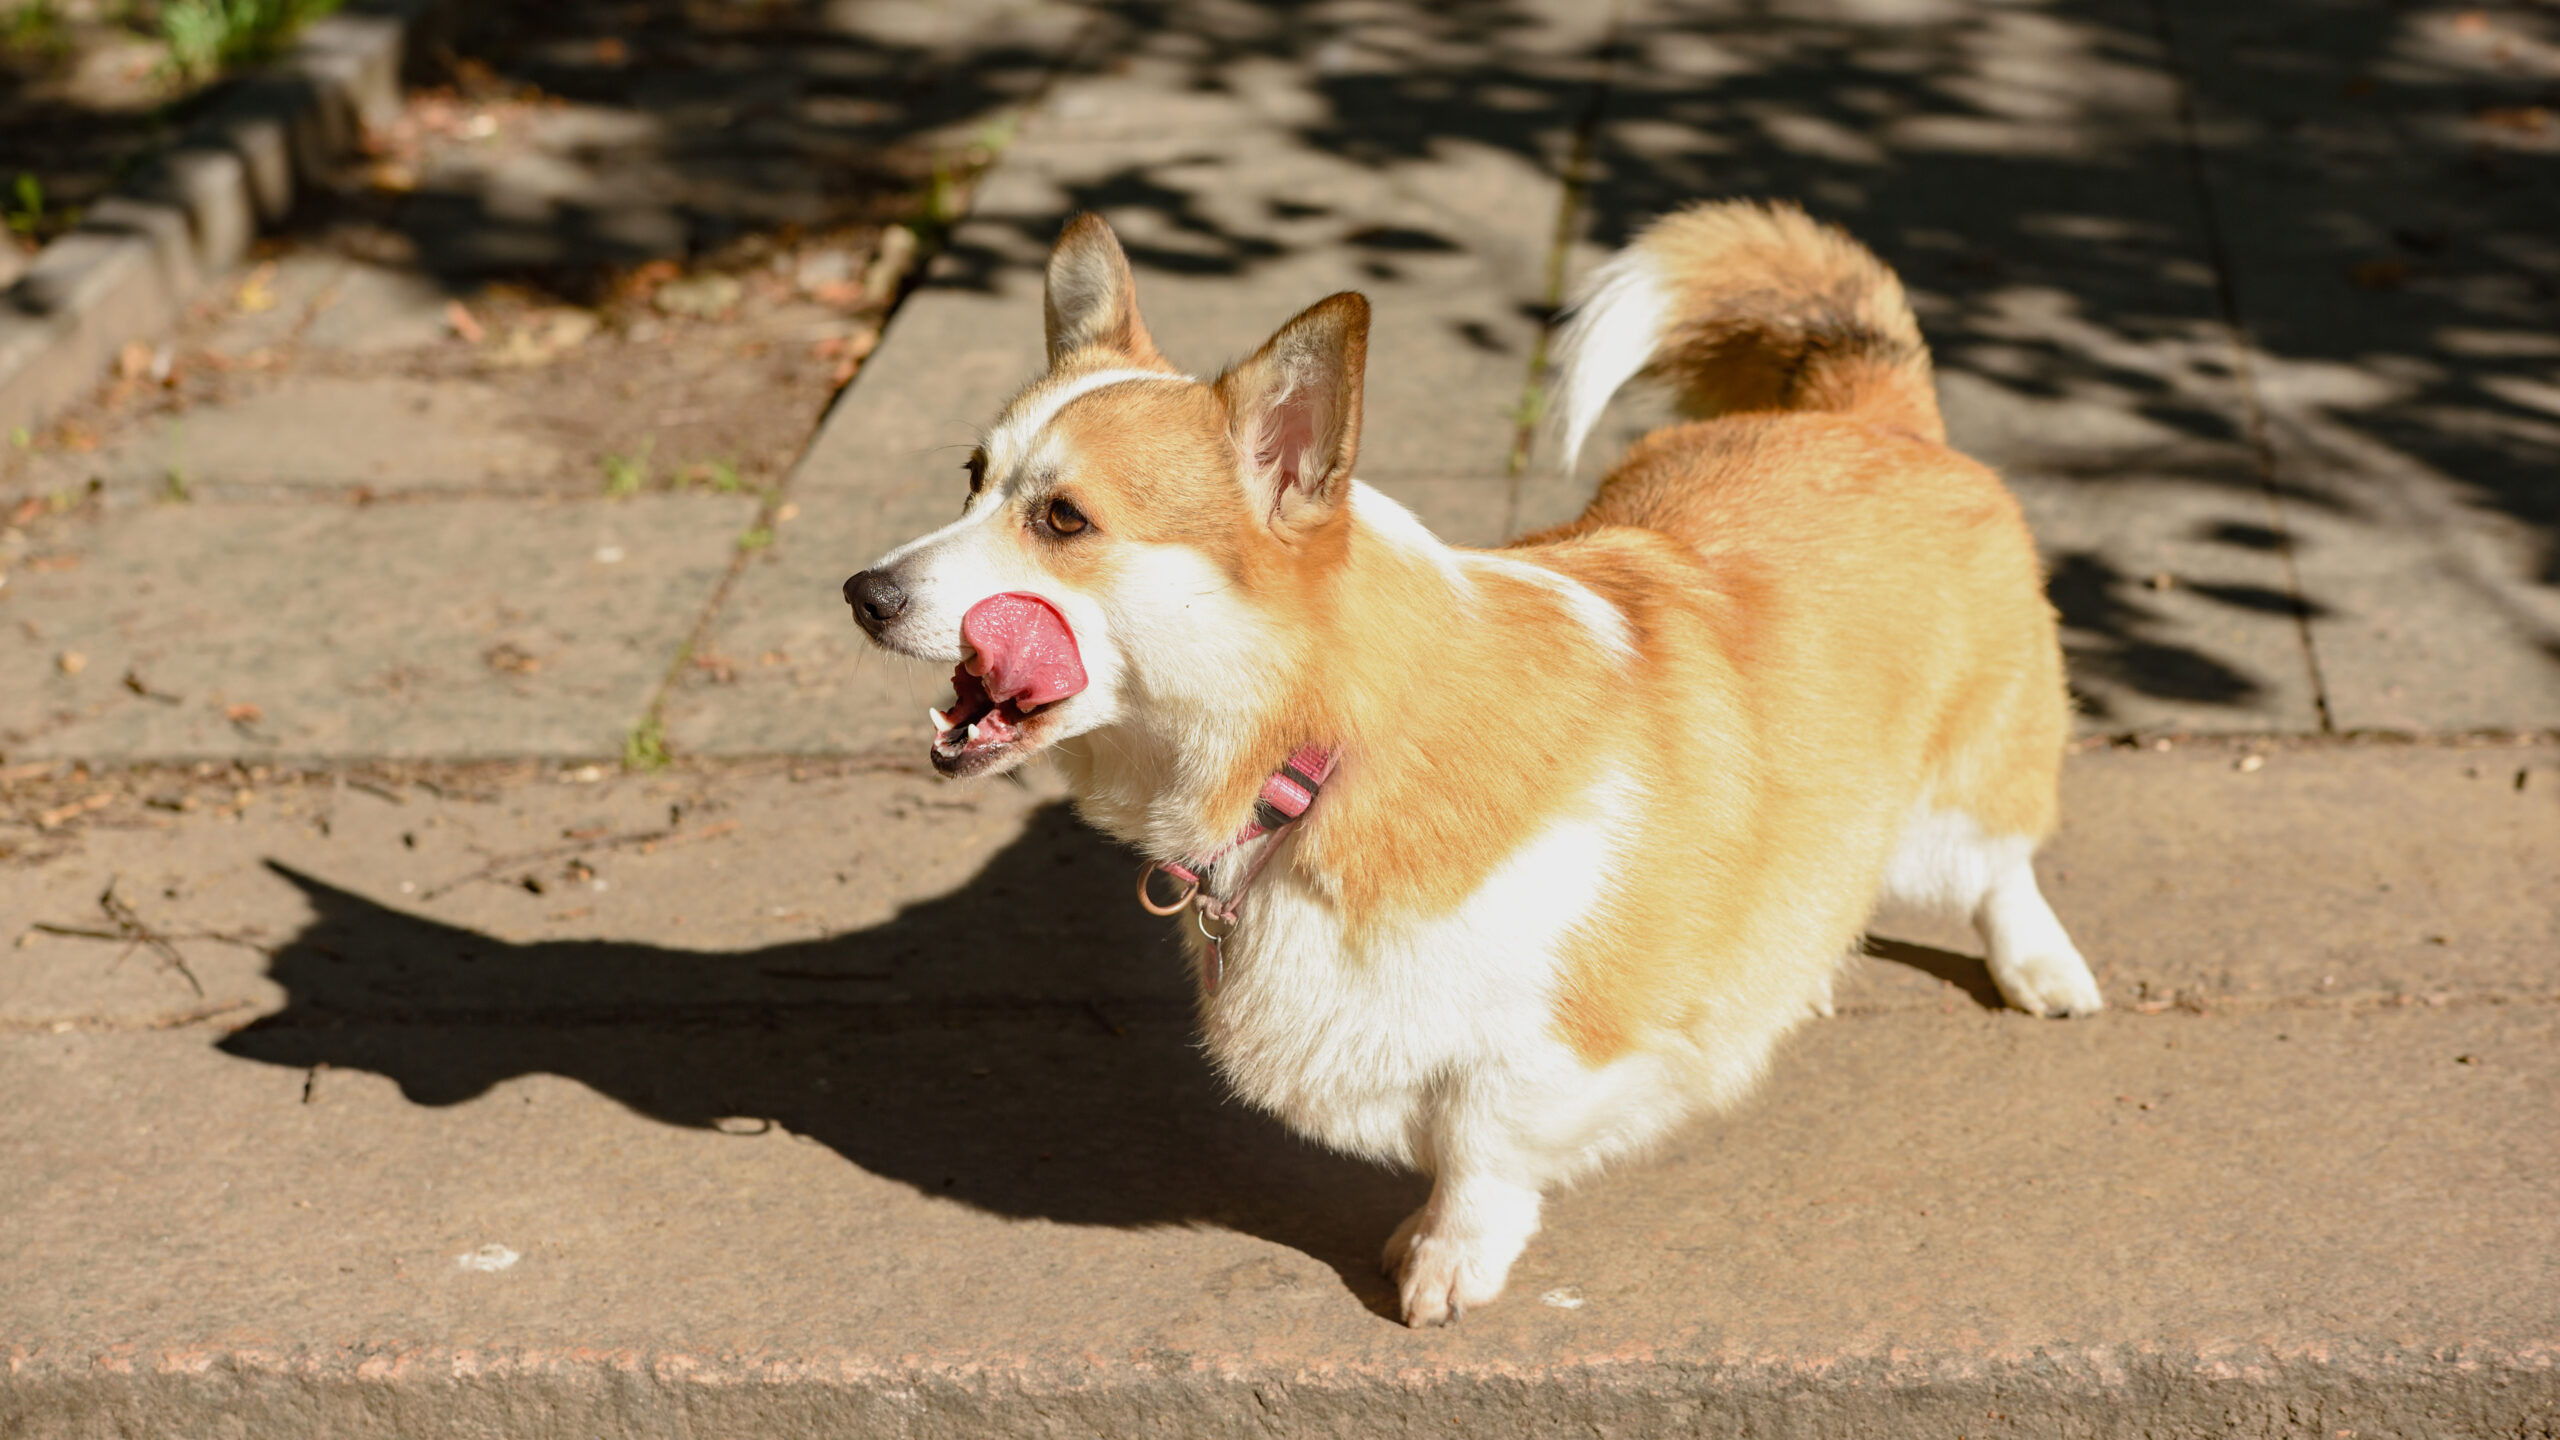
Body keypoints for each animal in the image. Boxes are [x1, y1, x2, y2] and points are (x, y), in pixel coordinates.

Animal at [839, 198, 2099, 1322]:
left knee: (1999, 869)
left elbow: (1481, 1143)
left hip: (1956, 802)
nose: (860, 593)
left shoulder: (1554, 1037)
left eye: (1063, 521)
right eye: (969, 475)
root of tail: (1870, 412)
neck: (1325, 744)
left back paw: (2040, 969)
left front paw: (1447, 1261)